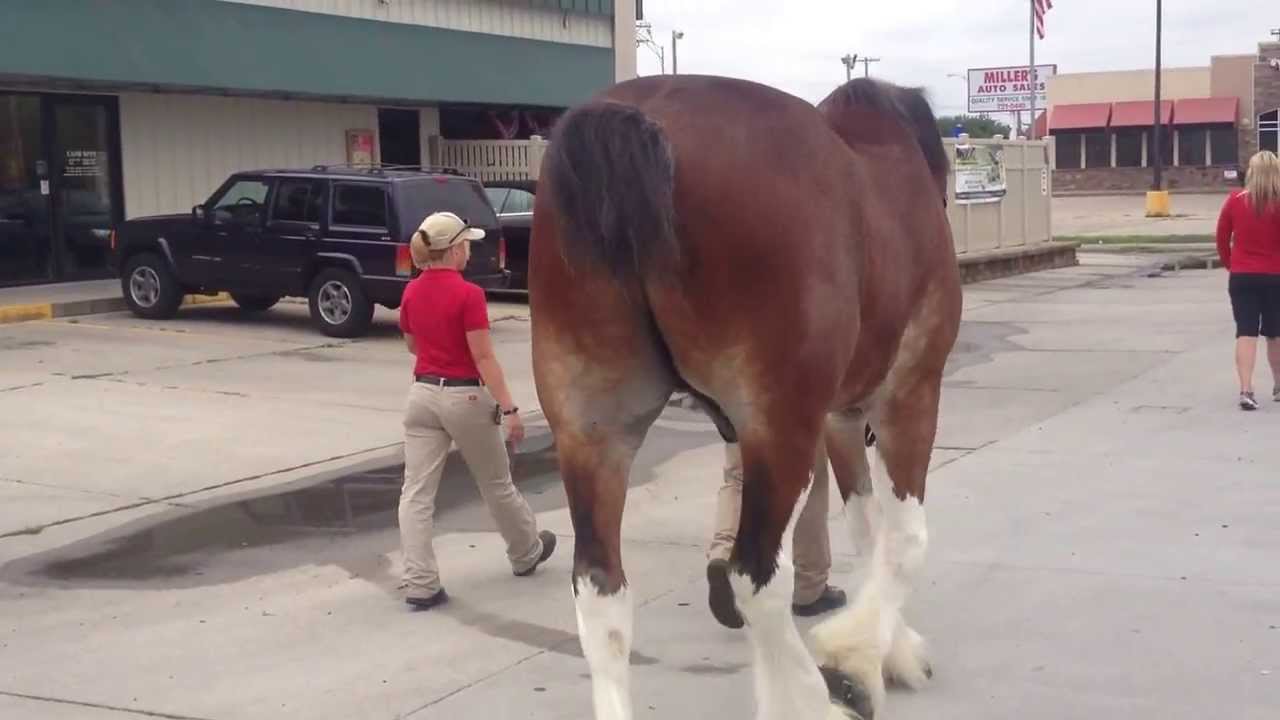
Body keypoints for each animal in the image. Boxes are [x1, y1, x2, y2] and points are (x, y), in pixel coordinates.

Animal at [527, 73, 962, 720]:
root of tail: (639, 118)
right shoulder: (908, 394)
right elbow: (906, 539)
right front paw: (857, 661)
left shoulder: (840, 418)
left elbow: (868, 529)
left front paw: (888, 647)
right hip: (778, 433)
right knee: (753, 578)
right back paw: (811, 699)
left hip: (594, 434)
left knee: (601, 592)